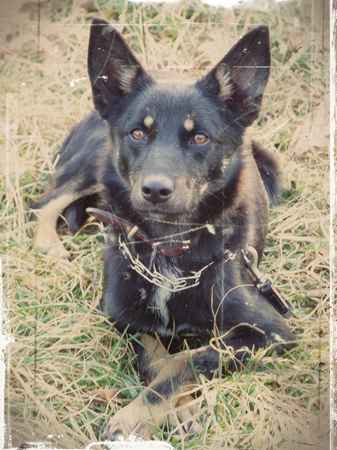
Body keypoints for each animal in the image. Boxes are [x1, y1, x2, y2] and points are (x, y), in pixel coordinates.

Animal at [32, 18, 294, 440]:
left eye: (200, 137)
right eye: (138, 133)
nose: (155, 190)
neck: (168, 247)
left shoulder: (270, 331)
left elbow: (188, 359)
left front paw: (147, 413)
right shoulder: (123, 316)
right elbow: (158, 360)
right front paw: (171, 410)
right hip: (96, 163)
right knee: (45, 202)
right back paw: (51, 249)